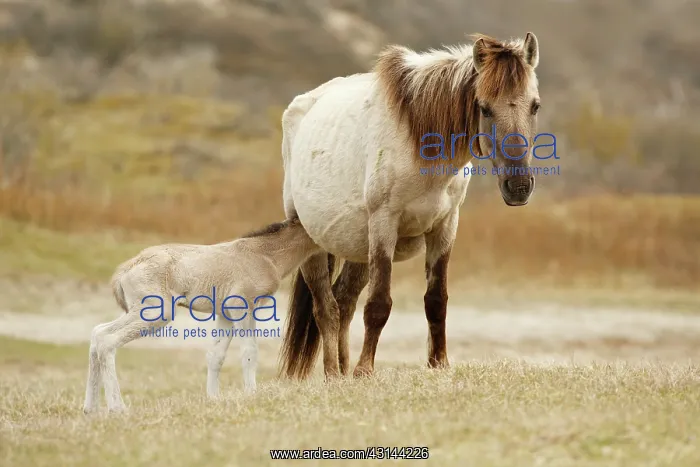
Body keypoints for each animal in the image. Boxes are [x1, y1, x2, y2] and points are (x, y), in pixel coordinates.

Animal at [83, 217, 320, 413]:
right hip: (156, 312)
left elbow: (216, 355)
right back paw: (117, 408)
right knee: (108, 340)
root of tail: (127, 267)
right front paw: (252, 395)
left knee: (97, 333)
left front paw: (213, 399)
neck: (265, 254)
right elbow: (249, 352)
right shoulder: (241, 306)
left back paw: (90, 410)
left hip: (141, 310)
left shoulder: (224, 312)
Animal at [278, 33, 541, 379]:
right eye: (484, 109)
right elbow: (378, 304)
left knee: (344, 301)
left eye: (535, 105)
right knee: (326, 308)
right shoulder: (384, 224)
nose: (519, 186)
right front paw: (365, 370)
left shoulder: (445, 227)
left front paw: (439, 363)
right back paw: (334, 374)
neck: (420, 144)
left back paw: (343, 372)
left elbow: (436, 300)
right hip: (312, 241)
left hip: (358, 248)